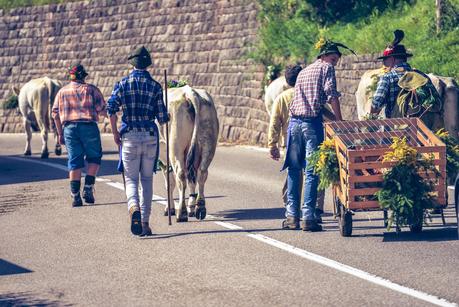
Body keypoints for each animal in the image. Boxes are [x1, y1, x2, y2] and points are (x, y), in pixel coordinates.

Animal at [161, 85, 220, 223]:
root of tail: (190, 93)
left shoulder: (163, 154)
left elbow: (169, 182)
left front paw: (169, 208)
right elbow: (191, 180)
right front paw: (191, 208)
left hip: (175, 147)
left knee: (181, 175)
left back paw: (181, 213)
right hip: (208, 143)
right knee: (201, 173)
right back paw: (200, 208)